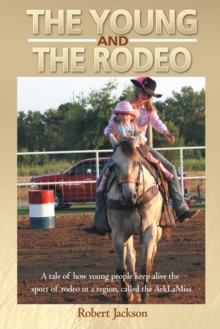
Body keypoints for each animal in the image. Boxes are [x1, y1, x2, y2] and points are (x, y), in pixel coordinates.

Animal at [106, 133, 163, 302]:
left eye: (137, 163)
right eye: (115, 165)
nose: (128, 195)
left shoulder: (150, 229)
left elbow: (146, 266)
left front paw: (145, 298)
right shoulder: (118, 233)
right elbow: (122, 267)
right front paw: (127, 296)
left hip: (158, 231)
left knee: (150, 255)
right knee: (131, 257)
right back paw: (134, 292)